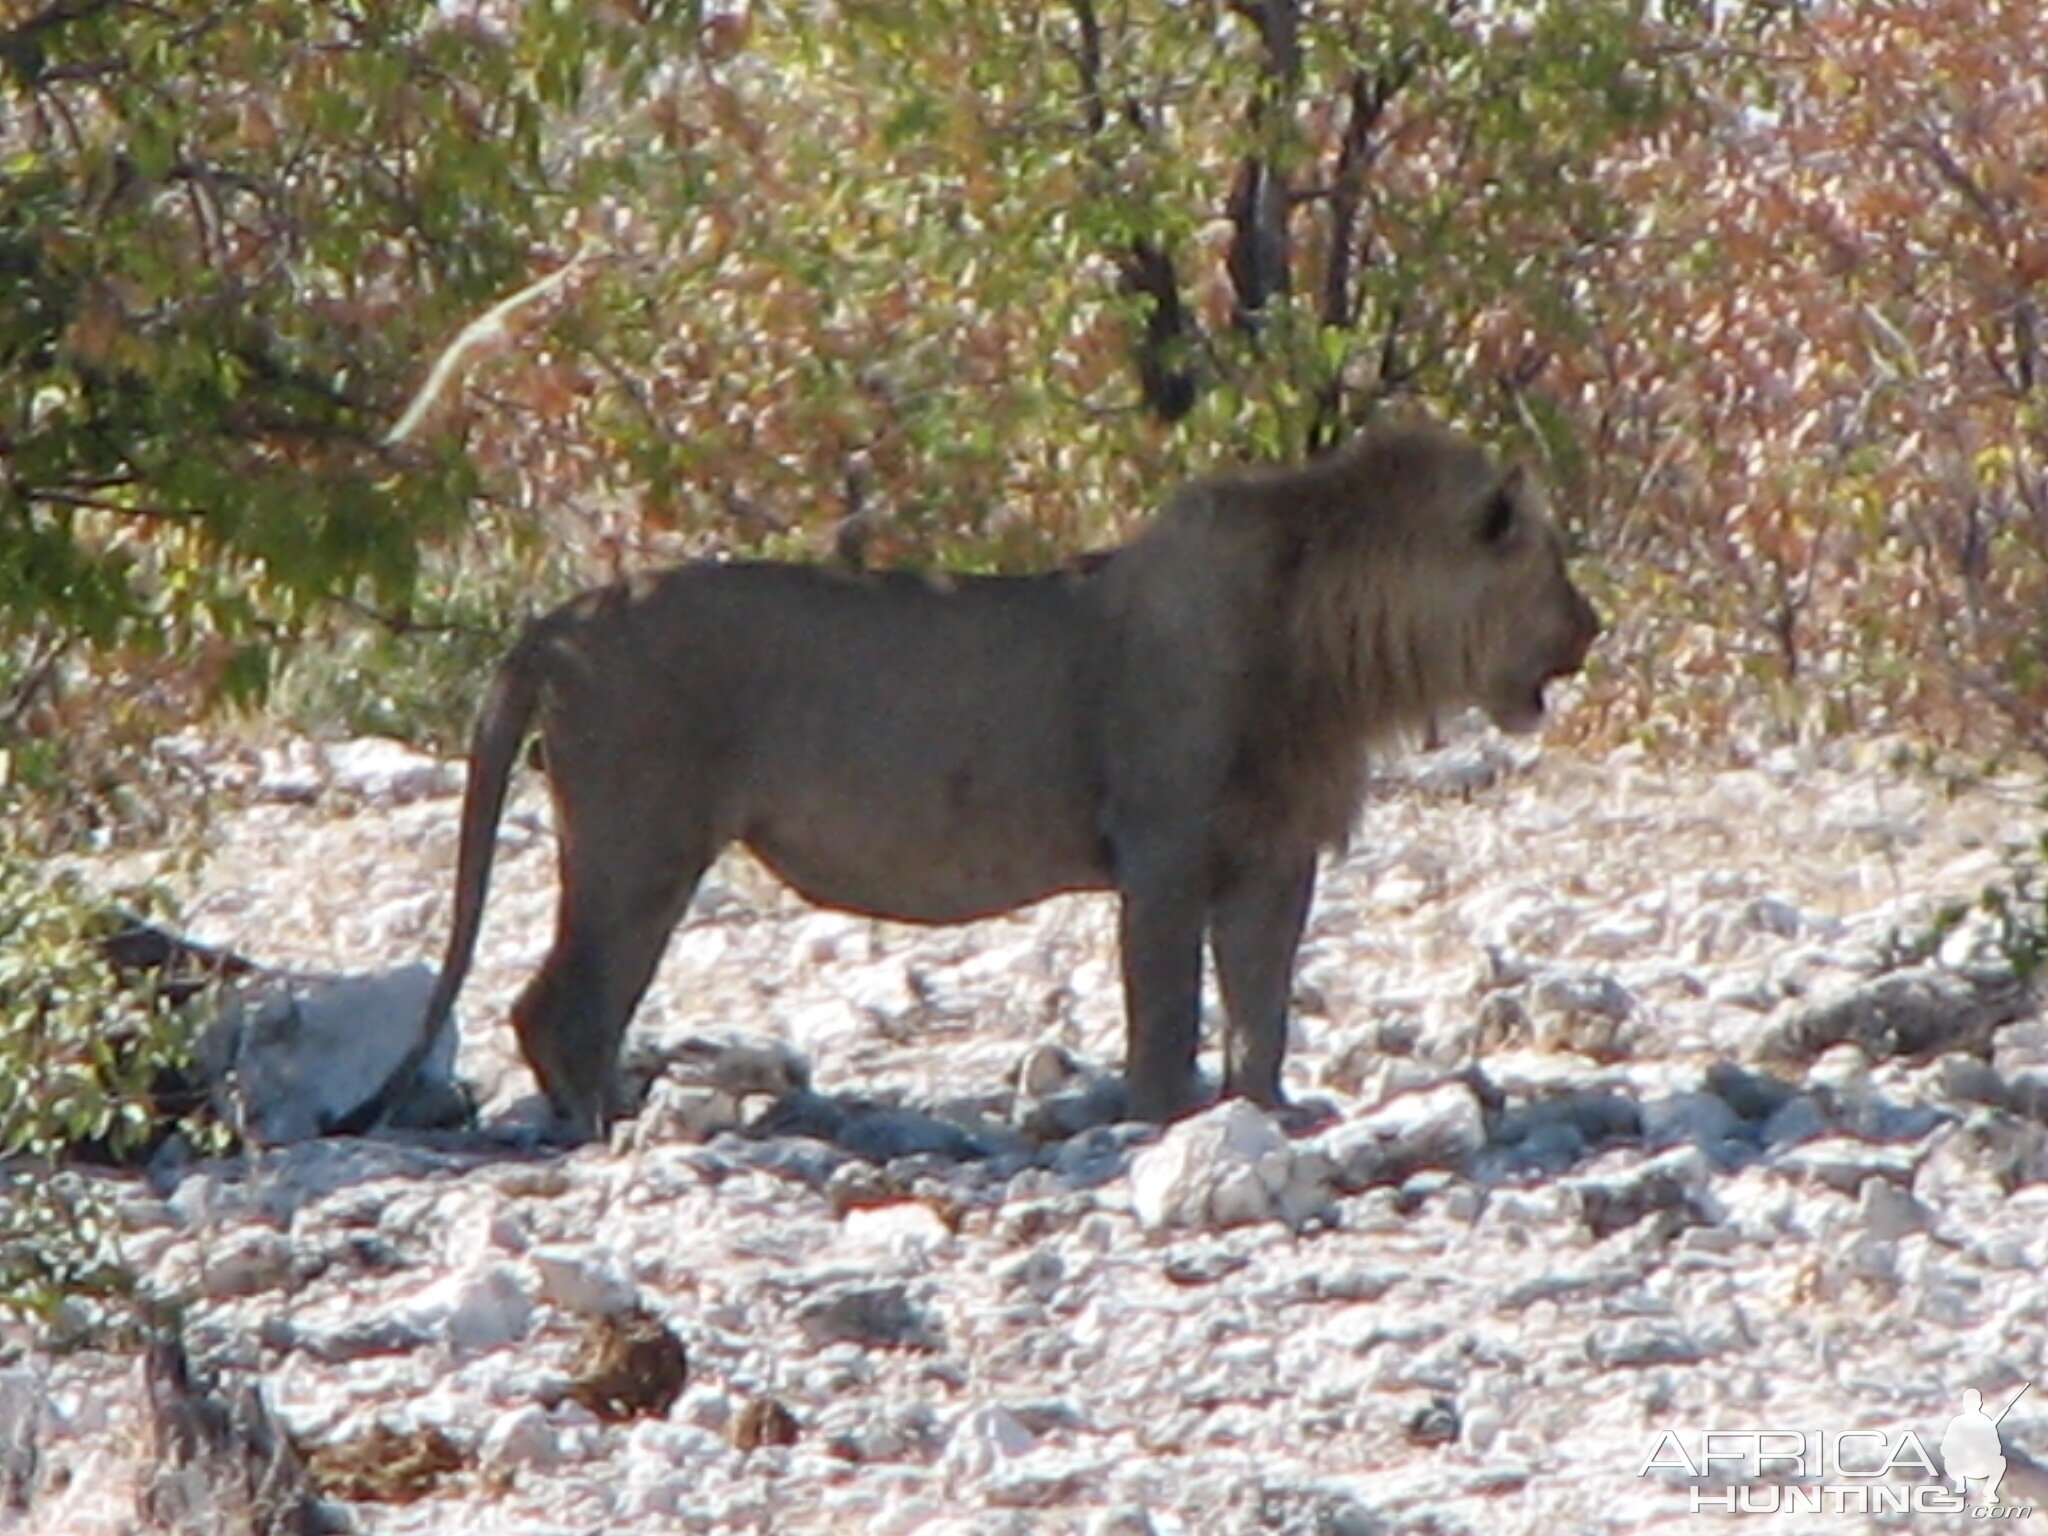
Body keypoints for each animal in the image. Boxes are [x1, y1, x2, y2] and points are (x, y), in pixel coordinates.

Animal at [348, 421, 1597, 1146]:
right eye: (1549, 561)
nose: (1590, 628)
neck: (1338, 648)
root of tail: (553, 622)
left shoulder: (1273, 856)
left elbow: (1263, 1006)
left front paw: (1267, 1114)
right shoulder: (1163, 848)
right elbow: (1166, 1005)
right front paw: (1162, 1123)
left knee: (567, 1002)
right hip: (639, 843)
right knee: (557, 1002)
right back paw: (612, 1132)